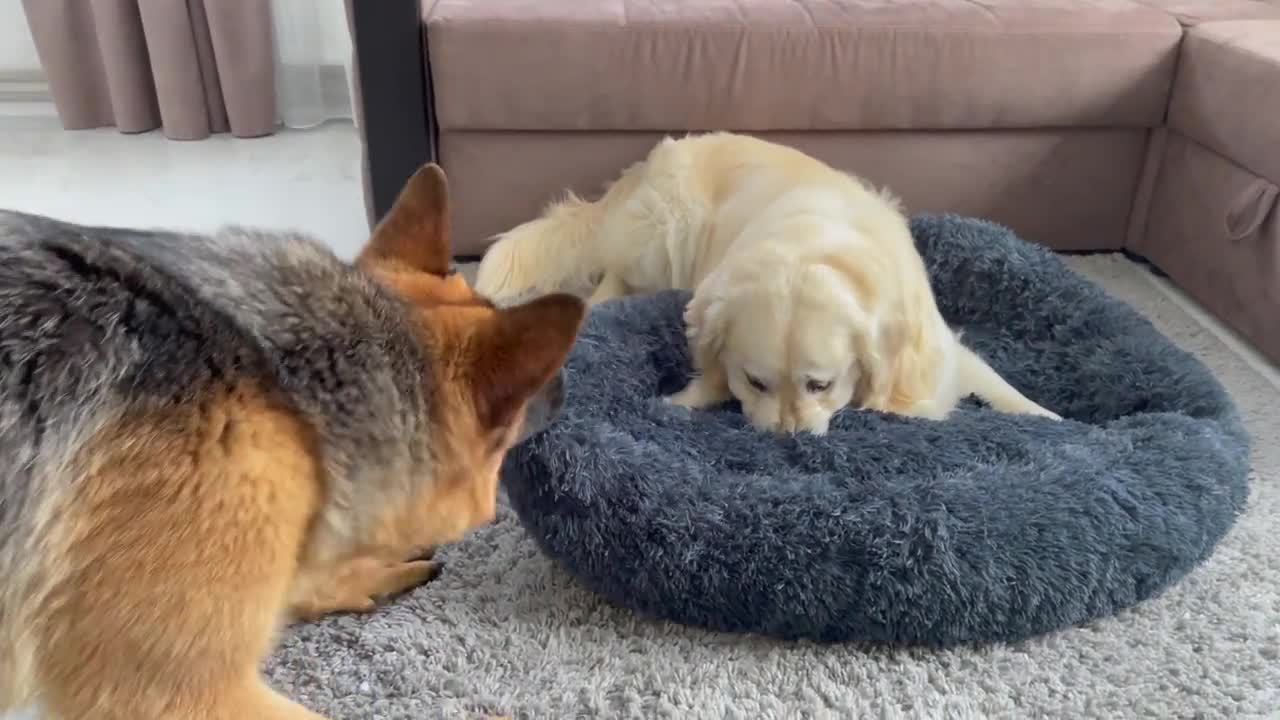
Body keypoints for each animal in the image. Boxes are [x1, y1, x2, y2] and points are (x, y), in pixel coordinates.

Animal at [476, 131, 1054, 430]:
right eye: (754, 381)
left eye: (821, 384)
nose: (786, 439)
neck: (813, 247)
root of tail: (649, 162)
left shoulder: (941, 355)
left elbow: (1004, 390)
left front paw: (1051, 420)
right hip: (667, 229)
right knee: (613, 277)